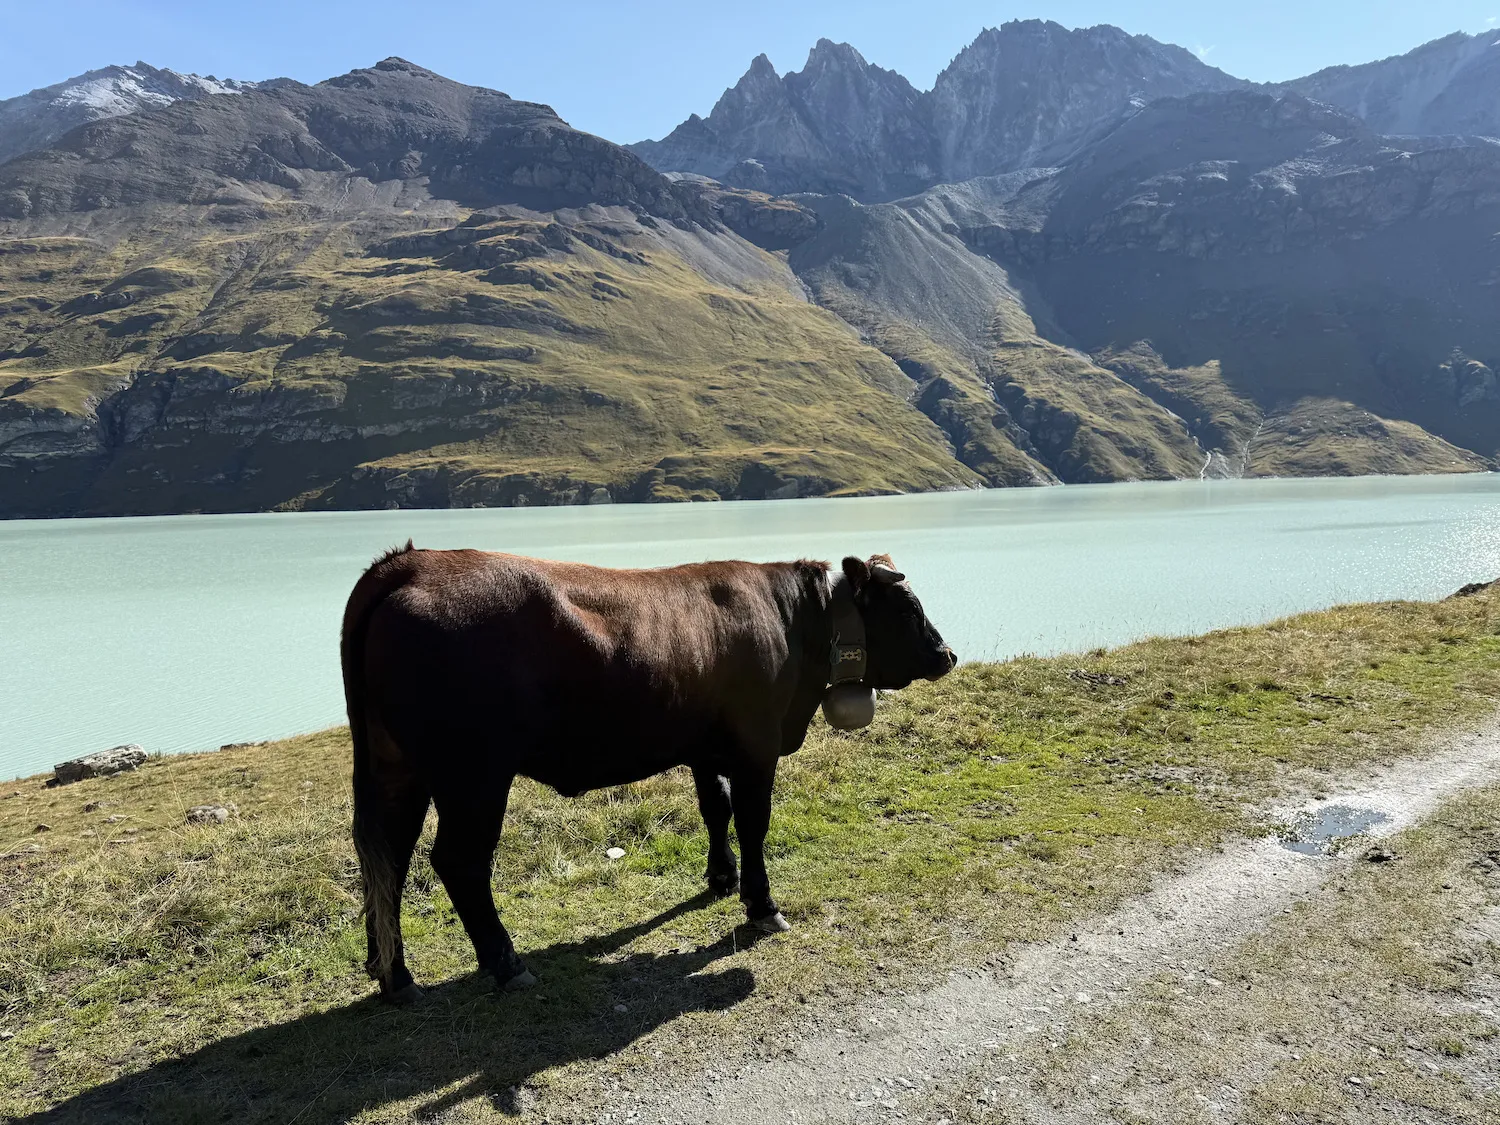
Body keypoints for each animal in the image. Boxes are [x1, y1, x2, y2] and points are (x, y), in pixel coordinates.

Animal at [341, 543, 956, 1002]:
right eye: (907, 608)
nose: (947, 655)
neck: (796, 626)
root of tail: (408, 563)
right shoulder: (757, 746)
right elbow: (753, 822)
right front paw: (761, 905)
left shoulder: (705, 749)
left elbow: (715, 810)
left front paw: (720, 878)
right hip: (474, 775)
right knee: (457, 861)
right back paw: (506, 963)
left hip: (397, 768)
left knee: (387, 857)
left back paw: (394, 975)